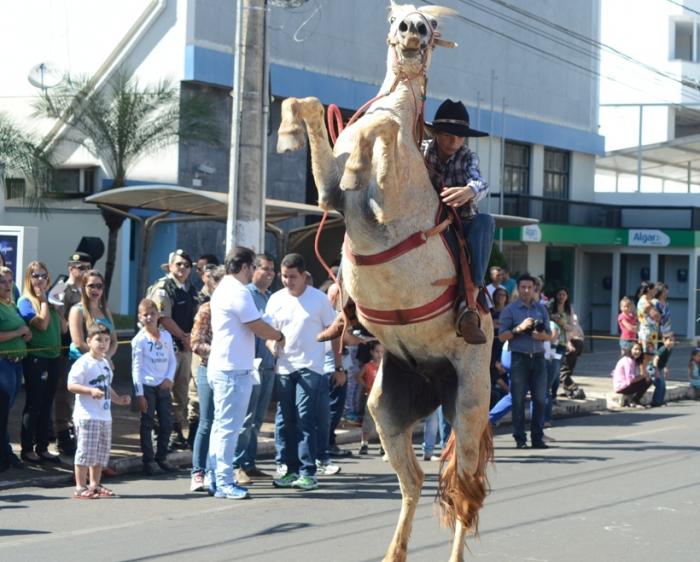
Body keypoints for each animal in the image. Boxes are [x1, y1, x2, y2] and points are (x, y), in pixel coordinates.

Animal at [276, 2, 490, 556]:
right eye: (396, 18)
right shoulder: (328, 196)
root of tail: (436, 378)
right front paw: (289, 132)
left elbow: (386, 133)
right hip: (387, 408)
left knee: (465, 492)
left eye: (431, 26)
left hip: (470, 403)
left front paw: (361, 162)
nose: (411, 29)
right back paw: (394, 553)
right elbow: (310, 106)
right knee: (414, 480)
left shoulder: (386, 211)